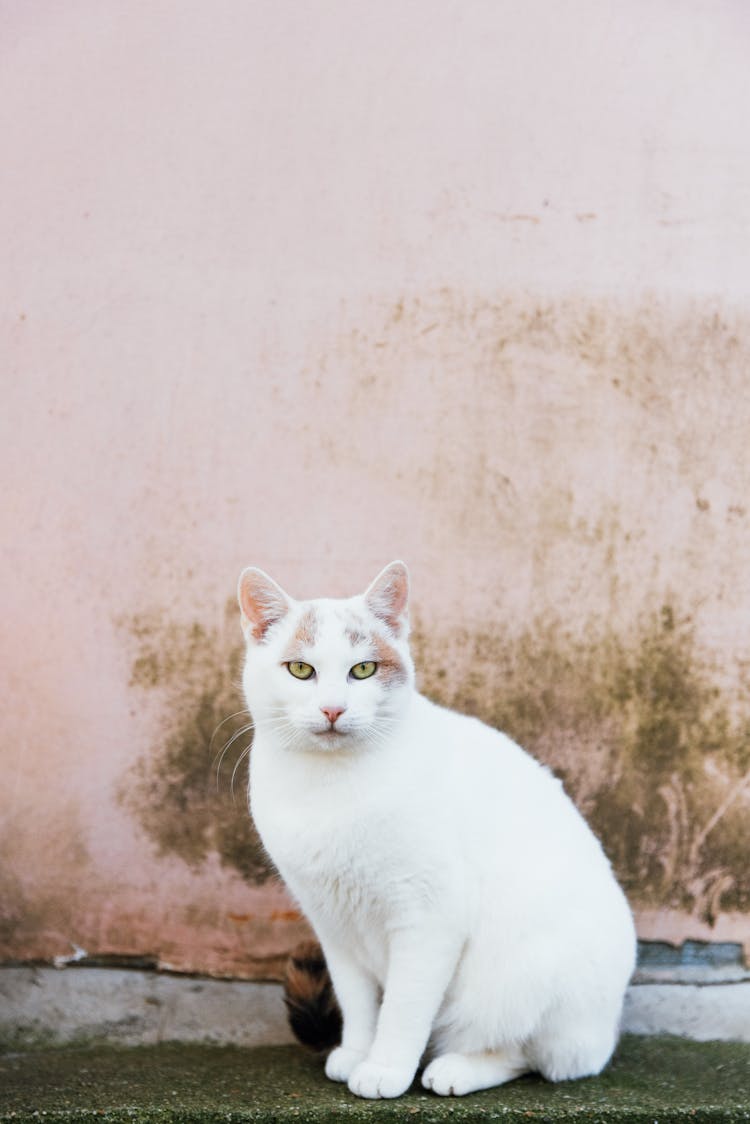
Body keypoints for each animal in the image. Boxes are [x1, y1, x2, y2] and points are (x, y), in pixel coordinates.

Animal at [237, 559, 638, 1097]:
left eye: (363, 669)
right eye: (301, 670)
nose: (333, 709)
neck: (329, 787)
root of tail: (608, 1027)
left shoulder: (429, 918)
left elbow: (403, 1008)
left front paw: (385, 1069)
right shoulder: (333, 924)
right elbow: (358, 1002)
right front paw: (358, 1052)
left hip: (522, 980)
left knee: (533, 1055)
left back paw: (456, 1068)